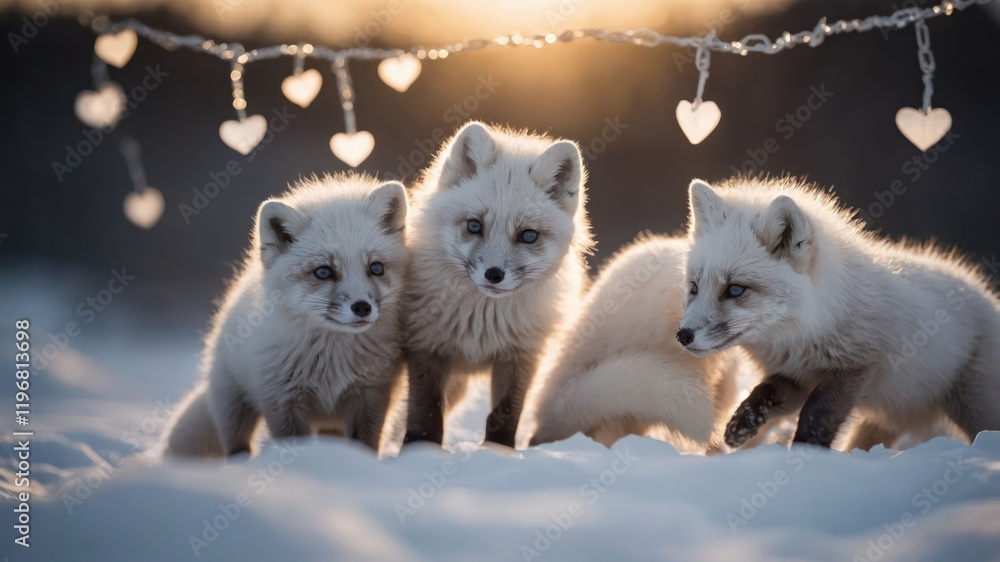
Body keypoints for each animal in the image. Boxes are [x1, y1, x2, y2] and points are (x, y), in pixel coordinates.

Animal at [163, 173, 408, 457]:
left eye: (376, 268)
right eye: (323, 272)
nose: (362, 307)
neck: (332, 362)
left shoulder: (371, 397)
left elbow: (366, 445)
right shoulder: (282, 401)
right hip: (234, 411)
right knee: (236, 446)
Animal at [402, 121, 593, 448]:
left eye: (528, 235)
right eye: (474, 225)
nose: (493, 274)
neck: (481, 323)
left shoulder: (521, 355)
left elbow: (505, 415)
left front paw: (499, 451)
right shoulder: (427, 345)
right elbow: (427, 414)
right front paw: (420, 450)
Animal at [677, 176, 1000, 451]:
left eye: (734, 289)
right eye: (694, 287)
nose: (683, 336)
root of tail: (984, 293)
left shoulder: (856, 366)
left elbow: (816, 416)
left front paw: (807, 456)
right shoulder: (795, 376)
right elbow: (762, 392)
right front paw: (740, 426)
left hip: (976, 409)